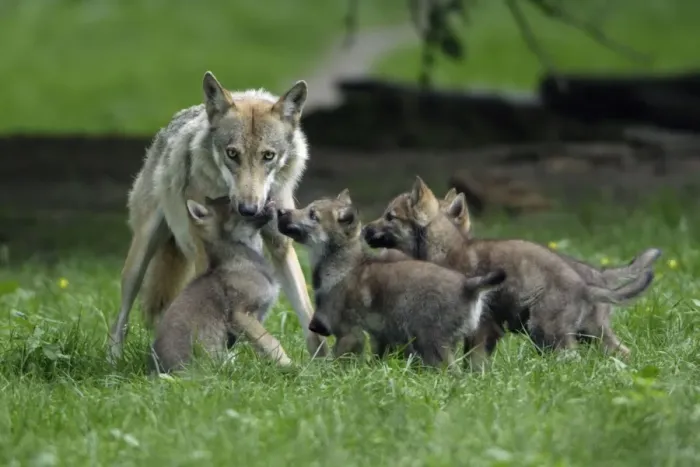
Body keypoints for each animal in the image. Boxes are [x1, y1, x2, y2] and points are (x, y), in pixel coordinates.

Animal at [275, 189, 507, 369]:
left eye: (312, 215)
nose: (279, 211)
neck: (341, 266)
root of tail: (468, 286)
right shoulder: (377, 337)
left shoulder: (350, 335)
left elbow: (335, 362)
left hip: (432, 343)